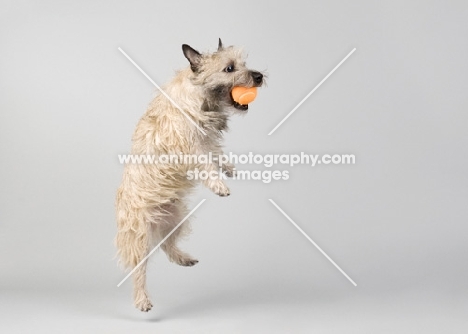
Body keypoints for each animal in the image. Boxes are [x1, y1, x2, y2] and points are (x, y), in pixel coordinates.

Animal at [115, 39, 266, 314]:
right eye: (229, 68)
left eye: (244, 64)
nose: (259, 76)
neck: (201, 98)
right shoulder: (187, 147)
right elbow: (206, 164)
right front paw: (219, 184)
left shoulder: (207, 141)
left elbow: (216, 153)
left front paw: (229, 169)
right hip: (139, 237)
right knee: (139, 270)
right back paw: (142, 299)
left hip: (177, 219)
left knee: (166, 244)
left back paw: (183, 258)